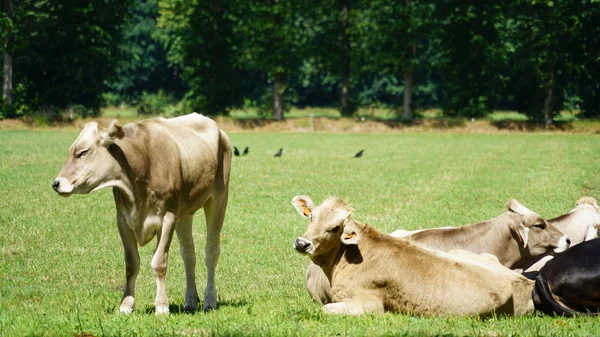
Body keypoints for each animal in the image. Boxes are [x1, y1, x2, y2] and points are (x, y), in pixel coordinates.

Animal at [51, 112, 231, 312]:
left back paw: (209, 300)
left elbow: (159, 262)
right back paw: (191, 300)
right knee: (188, 253)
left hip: (218, 199)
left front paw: (161, 306)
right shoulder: (123, 219)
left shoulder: (168, 216)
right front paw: (126, 304)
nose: (56, 183)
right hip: (185, 212)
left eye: (83, 152)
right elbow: (131, 264)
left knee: (211, 251)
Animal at [292, 194, 532, 316]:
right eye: (311, 216)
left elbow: (326, 309)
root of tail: (524, 281)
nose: (302, 243)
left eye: (334, 228)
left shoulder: (367, 304)